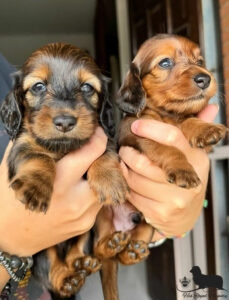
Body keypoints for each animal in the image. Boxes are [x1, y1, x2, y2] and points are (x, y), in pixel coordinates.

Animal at [0, 43, 129, 298]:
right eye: (38, 86)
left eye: (87, 87)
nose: (65, 122)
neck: (63, 147)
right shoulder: (21, 145)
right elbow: (39, 157)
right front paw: (35, 188)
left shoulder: (104, 138)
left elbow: (105, 153)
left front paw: (110, 180)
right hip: (41, 249)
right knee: (52, 270)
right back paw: (69, 277)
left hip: (93, 224)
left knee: (82, 248)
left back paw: (93, 257)